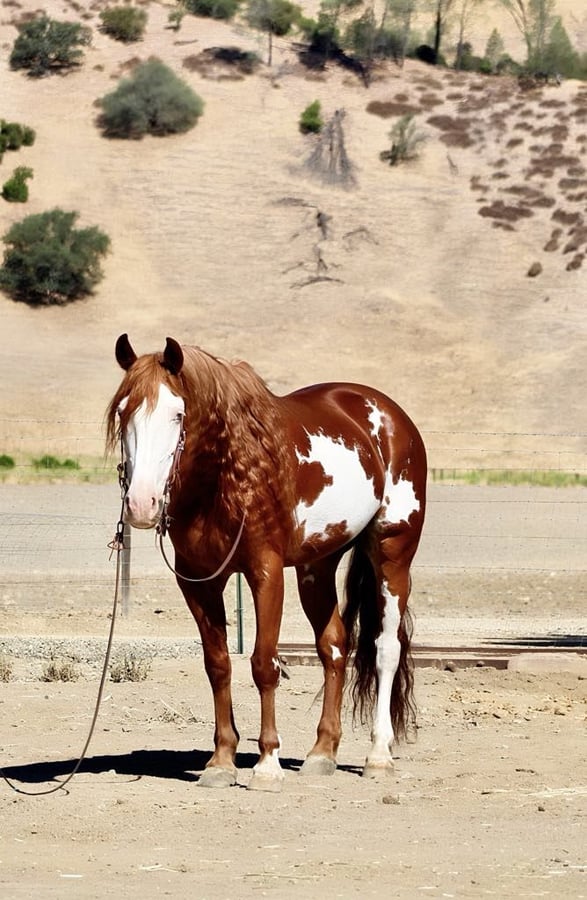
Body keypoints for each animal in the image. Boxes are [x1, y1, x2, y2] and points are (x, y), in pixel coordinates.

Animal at [107, 334, 427, 792]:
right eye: (123, 411)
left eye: (177, 414)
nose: (141, 503)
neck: (226, 477)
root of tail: (389, 415)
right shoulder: (199, 581)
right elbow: (218, 664)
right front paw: (221, 761)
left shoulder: (266, 573)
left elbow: (264, 664)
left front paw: (266, 763)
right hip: (317, 568)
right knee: (334, 647)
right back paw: (322, 753)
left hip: (392, 555)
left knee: (386, 648)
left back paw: (378, 756)